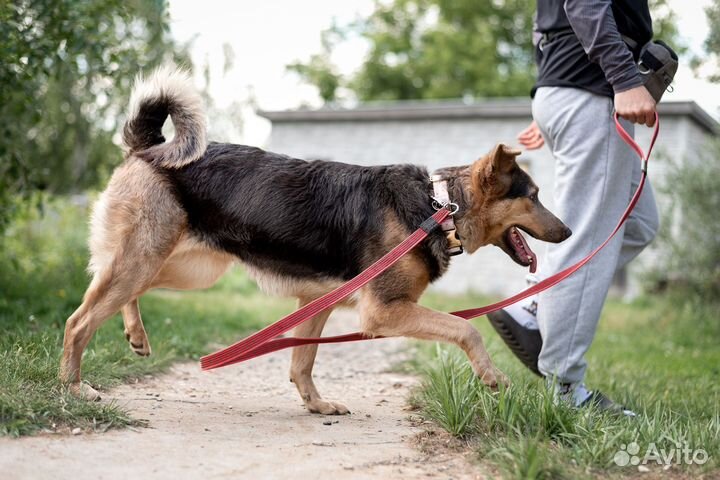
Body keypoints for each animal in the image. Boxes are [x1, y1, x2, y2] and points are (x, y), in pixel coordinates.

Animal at [62, 66, 572, 412]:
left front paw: (316, 405)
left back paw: (135, 334)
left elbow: (301, 362)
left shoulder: (317, 302)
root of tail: (149, 146)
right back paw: (74, 387)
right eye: (535, 196)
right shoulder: (384, 312)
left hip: (183, 267)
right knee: (79, 320)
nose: (567, 232)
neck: (438, 207)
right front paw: (492, 376)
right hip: (148, 256)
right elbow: (466, 328)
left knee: (115, 289)